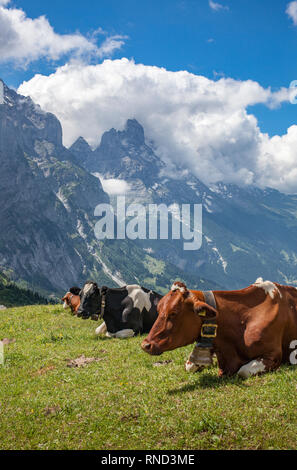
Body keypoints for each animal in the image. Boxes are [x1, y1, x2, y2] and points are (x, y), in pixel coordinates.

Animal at [140, 280, 296, 378]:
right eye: (159, 310)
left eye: (173, 313)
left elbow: (243, 371)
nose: (145, 345)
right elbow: (189, 365)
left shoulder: (273, 354)